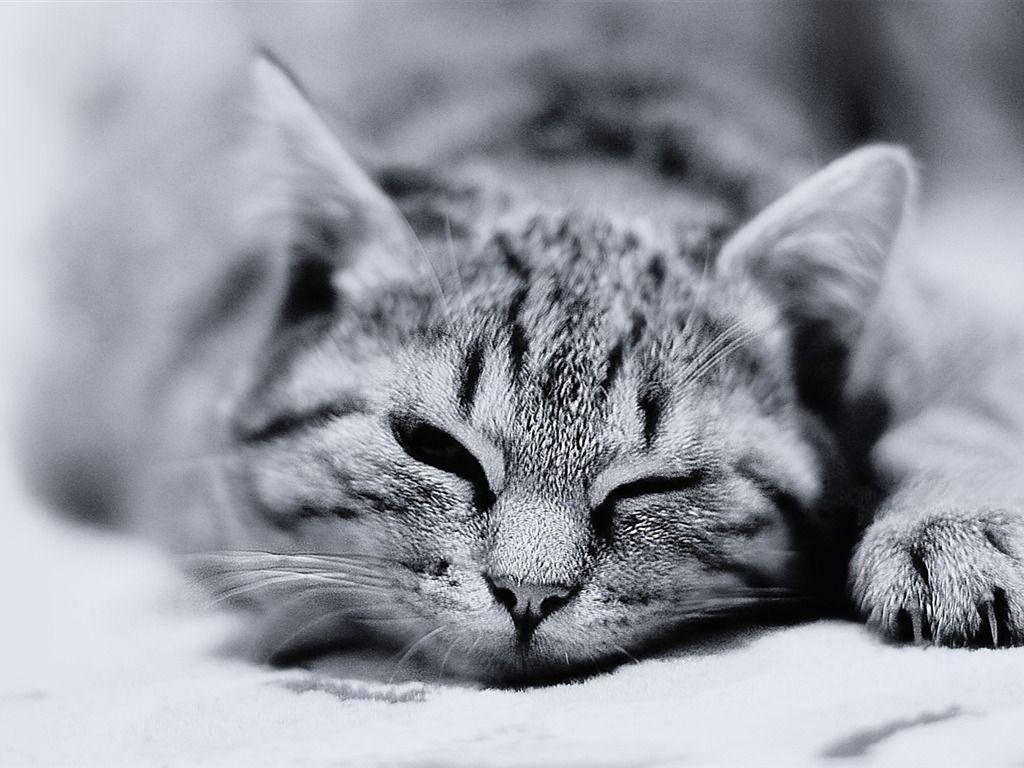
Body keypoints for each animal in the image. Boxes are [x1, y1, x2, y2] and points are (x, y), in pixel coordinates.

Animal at [22, 40, 1024, 684]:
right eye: (432, 446)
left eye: (654, 484)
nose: (527, 594)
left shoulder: (951, 331)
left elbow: (963, 412)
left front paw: (958, 523)